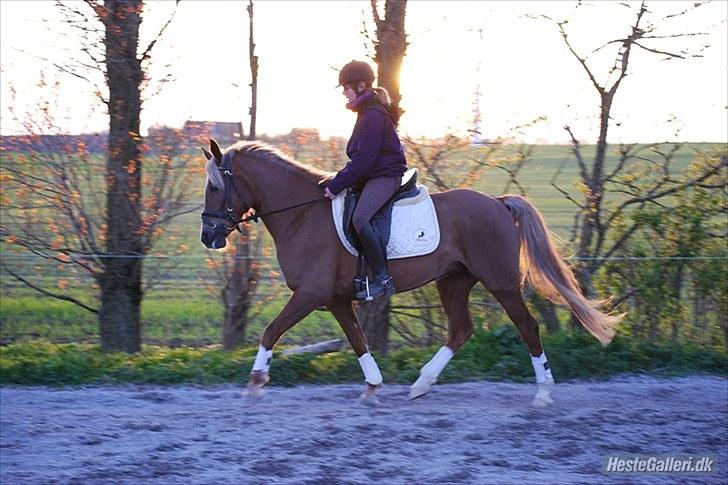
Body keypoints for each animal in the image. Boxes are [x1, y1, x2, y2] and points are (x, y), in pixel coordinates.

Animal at [202, 139, 624, 404]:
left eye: (214, 187)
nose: (208, 236)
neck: (302, 214)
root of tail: (498, 203)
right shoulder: (335, 299)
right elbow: (358, 339)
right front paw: (373, 386)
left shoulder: (310, 294)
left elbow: (271, 331)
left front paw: (256, 381)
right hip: (453, 281)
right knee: (461, 330)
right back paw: (421, 384)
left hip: (500, 284)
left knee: (528, 328)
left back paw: (543, 393)